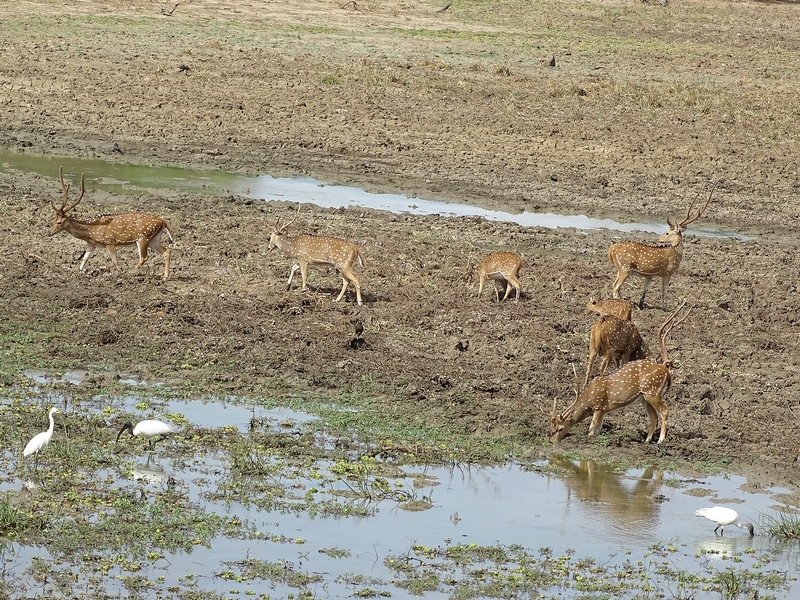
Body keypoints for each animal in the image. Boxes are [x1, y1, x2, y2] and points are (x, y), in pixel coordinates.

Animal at [550, 301, 691, 445]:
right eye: (552, 427)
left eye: (560, 428)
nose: (551, 440)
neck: (588, 400)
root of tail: (666, 372)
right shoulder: (603, 410)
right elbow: (596, 431)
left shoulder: (599, 407)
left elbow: (591, 431)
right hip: (645, 397)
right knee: (653, 417)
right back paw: (647, 441)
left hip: (651, 392)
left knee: (665, 411)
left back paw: (661, 440)